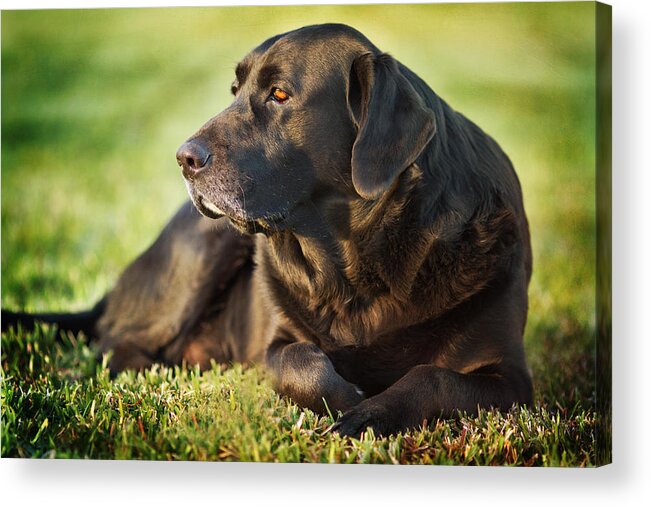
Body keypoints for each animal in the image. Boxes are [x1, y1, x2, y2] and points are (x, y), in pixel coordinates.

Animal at [2, 23, 532, 436]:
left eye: (279, 95)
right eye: (234, 92)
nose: (183, 158)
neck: (355, 262)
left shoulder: (512, 379)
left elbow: (431, 377)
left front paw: (368, 414)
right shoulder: (277, 343)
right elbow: (301, 364)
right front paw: (350, 402)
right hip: (205, 247)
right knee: (113, 344)